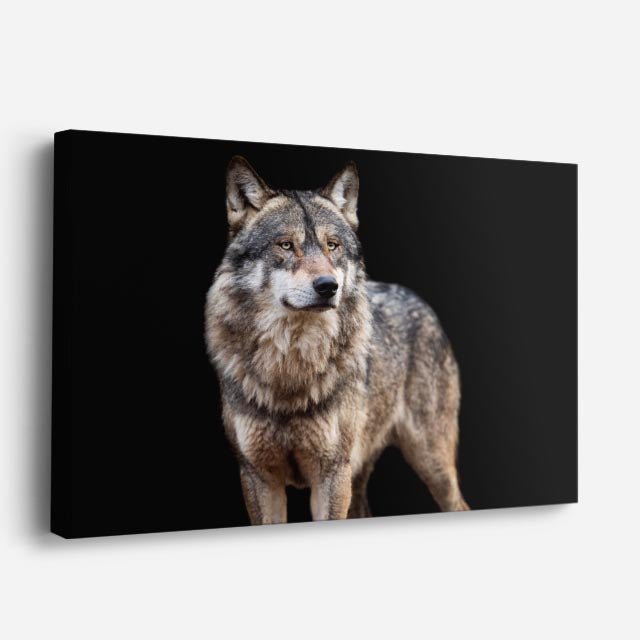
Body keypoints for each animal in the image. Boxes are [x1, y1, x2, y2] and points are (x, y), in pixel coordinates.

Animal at [205, 156, 469, 524]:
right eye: (286, 245)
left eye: (332, 246)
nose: (328, 286)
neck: (291, 367)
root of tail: (417, 298)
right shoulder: (257, 477)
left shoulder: (331, 476)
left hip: (431, 463)